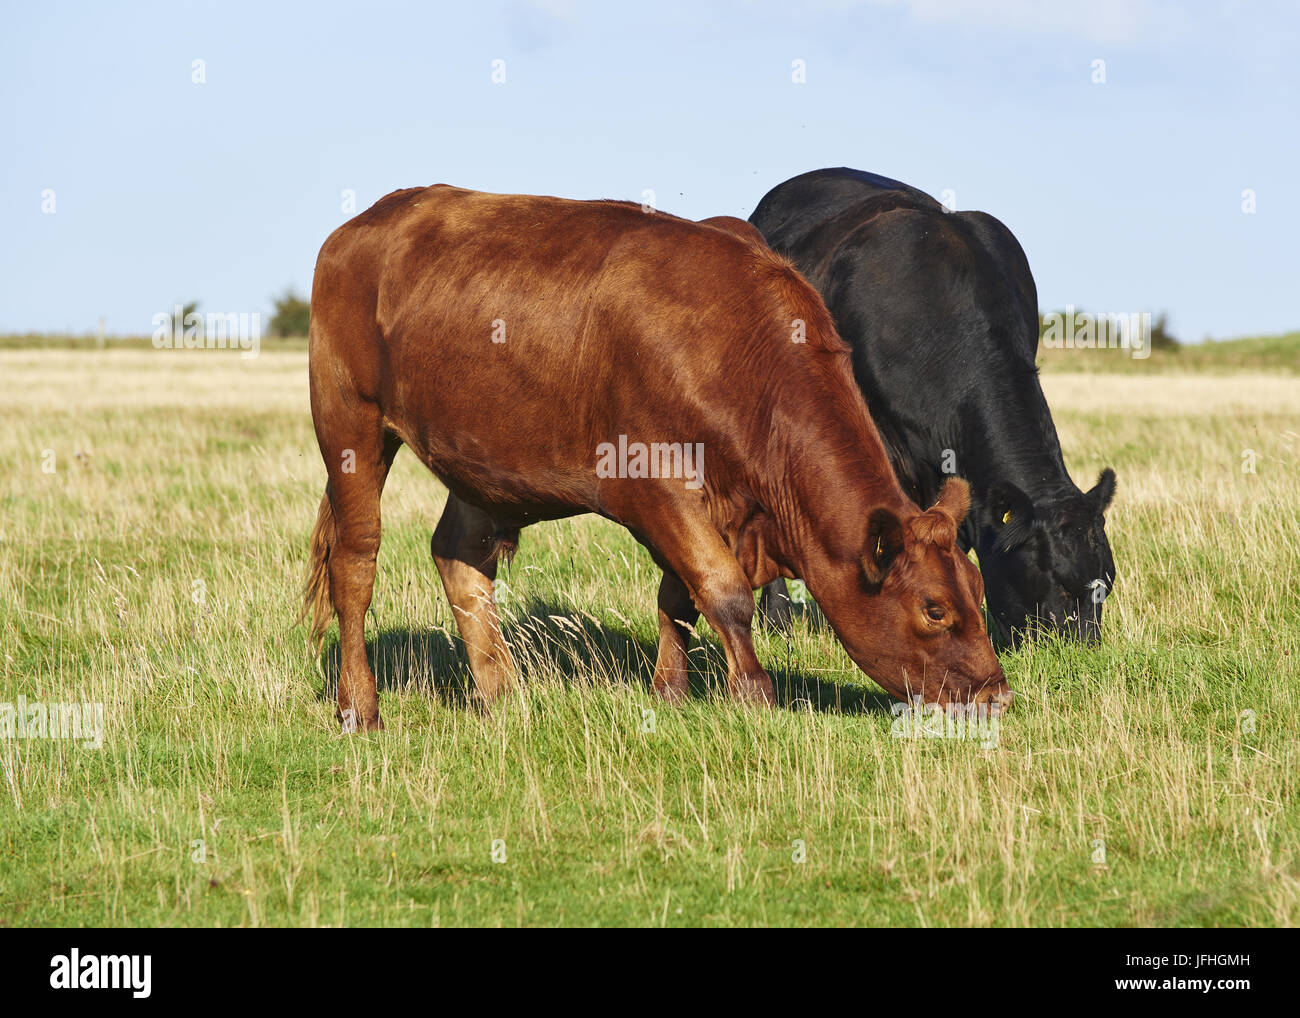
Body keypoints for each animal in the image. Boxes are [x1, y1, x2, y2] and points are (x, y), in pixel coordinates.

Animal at [299, 184, 1008, 733]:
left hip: (480, 461)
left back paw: (504, 695)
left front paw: (670, 692)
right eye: (934, 609)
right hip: (351, 426)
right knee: (355, 565)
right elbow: (723, 590)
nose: (997, 694)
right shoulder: (653, 485)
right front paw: (754, 694)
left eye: (977, 590)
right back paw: (360, 708)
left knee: (458, 556)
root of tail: (370, 220)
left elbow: (679, 596)